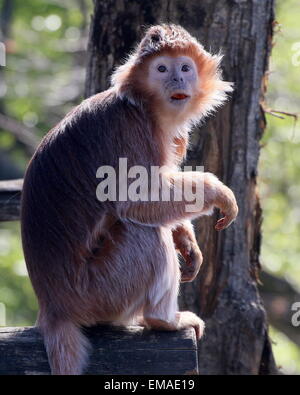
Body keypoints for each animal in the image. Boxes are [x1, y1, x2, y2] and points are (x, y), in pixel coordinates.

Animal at [19, 23, 238, 376]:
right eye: (161, 69)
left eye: (184, 68)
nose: (177, 81)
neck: (143, 106)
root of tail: (52, 307)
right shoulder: (133, 131)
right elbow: (137, 202)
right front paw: (217, 190)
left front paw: (186, 240)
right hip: (102, 292)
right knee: (144, 232)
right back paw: (163, 320)